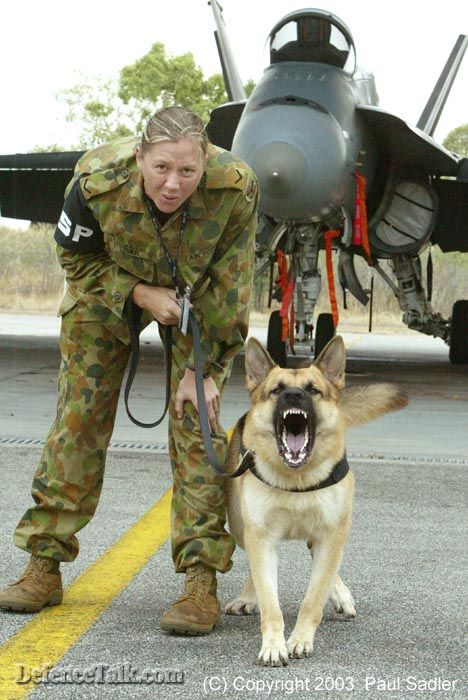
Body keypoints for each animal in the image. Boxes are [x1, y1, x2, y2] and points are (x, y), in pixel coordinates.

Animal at [226, 338, 406, 668]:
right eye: (277, 389)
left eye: (312, 390)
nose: (293, 395)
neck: (296, 479)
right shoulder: (261, 537)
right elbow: (269, 599)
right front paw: (273, 644)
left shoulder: (331, 534)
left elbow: (313, 597)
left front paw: (300, 639)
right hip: (240, 528)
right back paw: (248, 597)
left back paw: (341, 595)